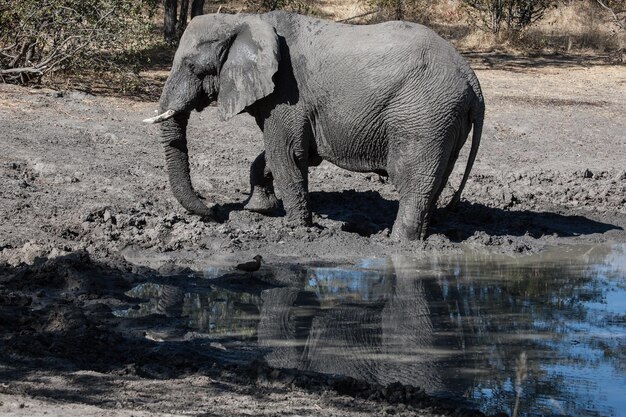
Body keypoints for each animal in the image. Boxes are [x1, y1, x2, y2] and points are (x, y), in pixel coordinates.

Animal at [145, 10, 482, 240]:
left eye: (193, 67)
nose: (215, 210)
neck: (244, 21)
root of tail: (472, 79)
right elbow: (285, 155)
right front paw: (258, 209)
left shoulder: (287, 93)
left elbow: (286, 154)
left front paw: (296, 229)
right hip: (444, 120)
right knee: (434, 180)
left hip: (423, 116)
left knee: (413, 180)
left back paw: (398, 242)